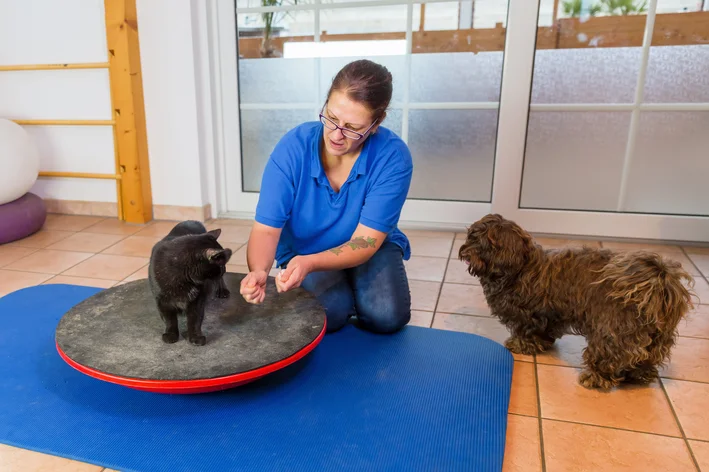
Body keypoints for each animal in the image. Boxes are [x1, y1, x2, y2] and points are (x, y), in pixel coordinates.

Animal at [456, 215, 696, 390]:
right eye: (470, 236)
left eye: (479, 240)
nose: (463, 250)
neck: (520, 267)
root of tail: (658, 283)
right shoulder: (549, 315)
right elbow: (545, 332)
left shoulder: (528, 315)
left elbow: (526, 332)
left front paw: (520, 345)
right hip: (657, 338)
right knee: (646, 357)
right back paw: (638, 375)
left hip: (610, 331)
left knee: (609, 355)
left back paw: (595, 378)